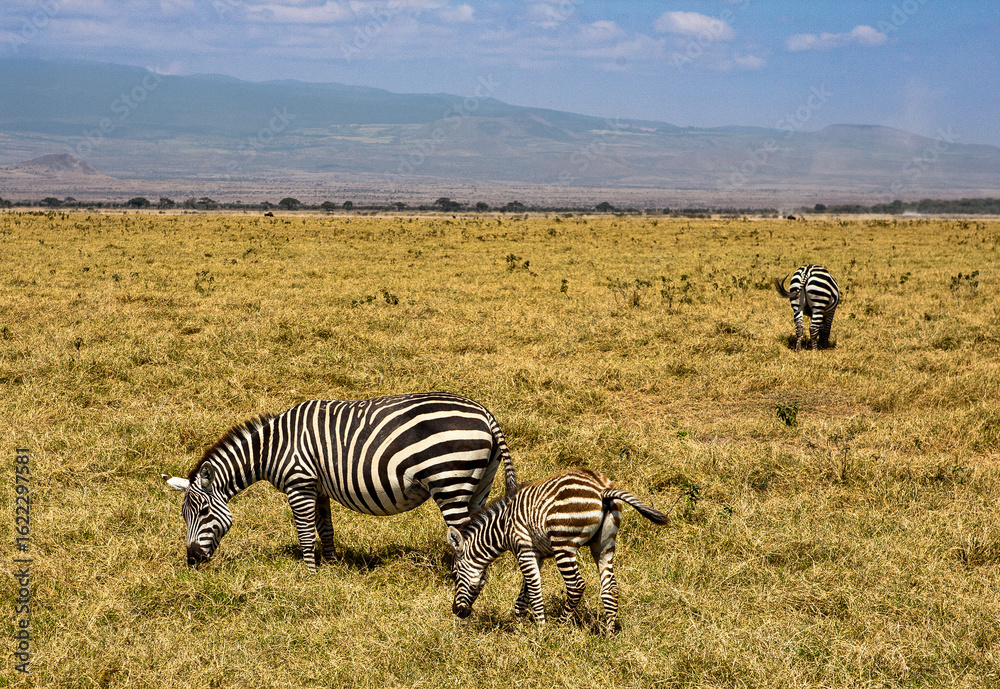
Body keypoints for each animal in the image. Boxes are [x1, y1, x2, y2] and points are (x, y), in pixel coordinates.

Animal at [162, 392, 518, 572]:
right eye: (183, 516)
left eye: (204, 513)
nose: (192, 559)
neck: (273, 447)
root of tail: (485, 413)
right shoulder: (318, 488)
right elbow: (326, 529)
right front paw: (332, 569)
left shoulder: (299, 484)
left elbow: (306, 534)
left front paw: (310, 576)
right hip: (478, 484)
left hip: (450, 481)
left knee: (464, 534)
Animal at [447, 468, 669, 635]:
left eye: (454, 575)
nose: (457, 612)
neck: (501, 528)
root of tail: (602, 489)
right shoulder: (536, 554)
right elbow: (524, 593)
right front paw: (520, 627)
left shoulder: (524, 549)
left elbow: (534, 590)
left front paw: (540, 631)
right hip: (605, 544)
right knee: (610, 588)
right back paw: (609, 635)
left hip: (564, 544)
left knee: (576, 586)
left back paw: (561, 627)